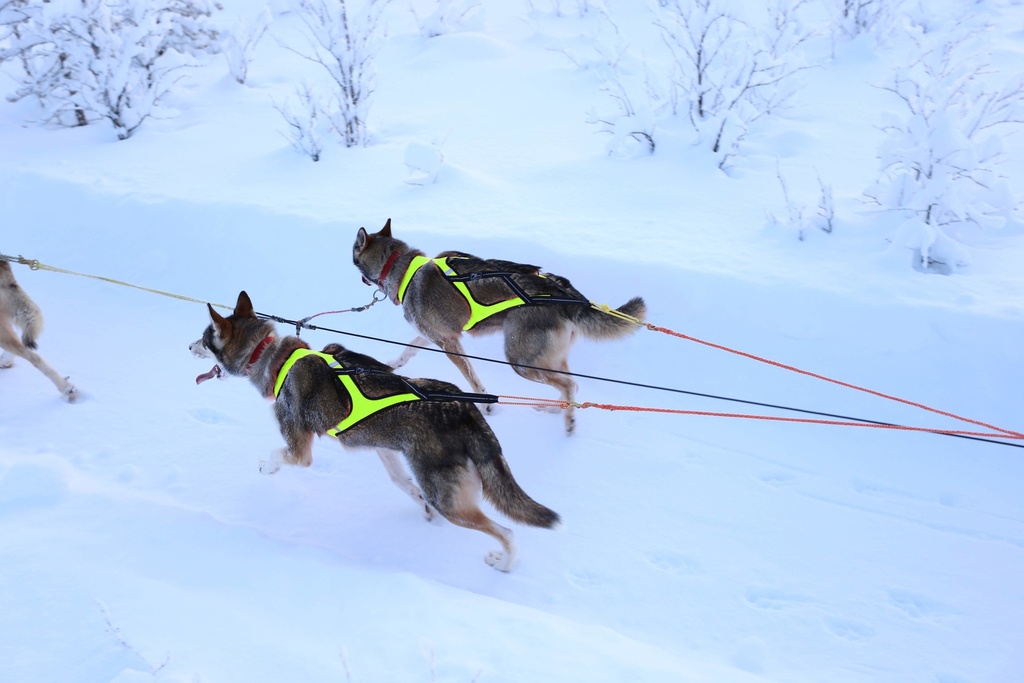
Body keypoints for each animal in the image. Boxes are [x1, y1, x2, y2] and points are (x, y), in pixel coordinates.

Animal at [192, 290, 561, 573]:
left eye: (205, 339)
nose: (188, 346)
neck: (272, 357)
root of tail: (464, 410)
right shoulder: (383, 447)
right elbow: (402, 484)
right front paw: (420, 508)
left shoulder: (300, 449)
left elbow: (279, 454)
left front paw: (267, 466)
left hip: (450, 501)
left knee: (506, 531)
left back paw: (506, 563)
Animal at [352, 219, 647, 432]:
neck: (403, 270)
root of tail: (564, 292)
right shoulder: (436, 335)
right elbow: (408, 350)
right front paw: (394, 363)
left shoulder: (449, 343)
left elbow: (473, 379)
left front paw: (486, 406)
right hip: (548, 359)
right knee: (571, 385)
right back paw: (557, 410)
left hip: (522, 362)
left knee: (568, 385)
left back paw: (567, 422)